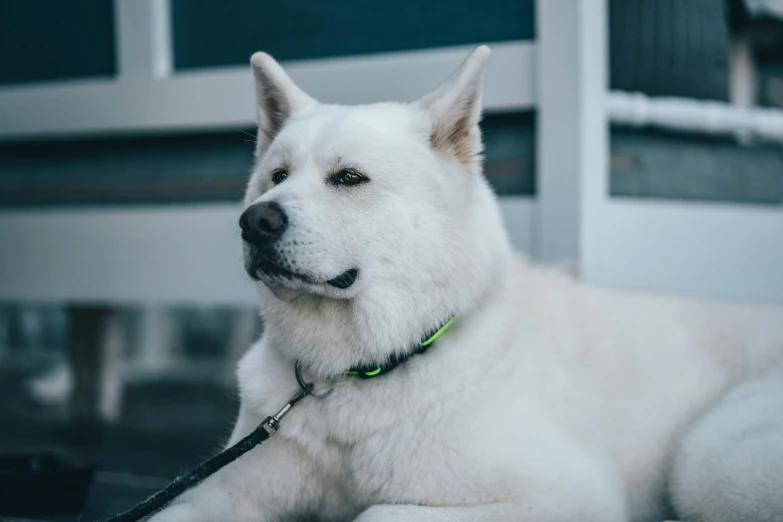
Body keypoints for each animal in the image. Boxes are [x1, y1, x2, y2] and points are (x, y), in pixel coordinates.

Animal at [150, 45, 783, 520]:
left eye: (349, 178)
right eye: (275, 178)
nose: (255, 221)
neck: (354, 375)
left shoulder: (559, 495)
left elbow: (376, 511)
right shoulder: (218, 491)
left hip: (709, 461)